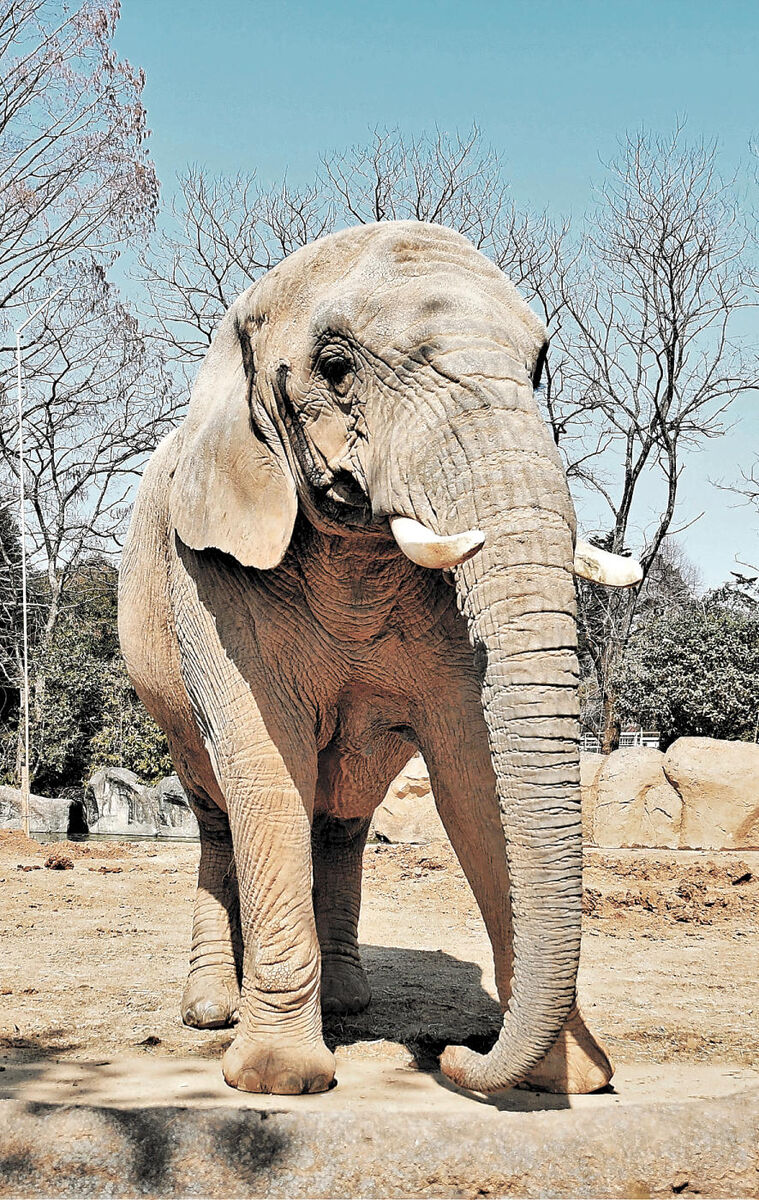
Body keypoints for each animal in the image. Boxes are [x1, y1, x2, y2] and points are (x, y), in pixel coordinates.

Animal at [120, 220, 638, 1099]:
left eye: (538, 367)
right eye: (336, 369)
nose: (456, 1055)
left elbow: (474, 775)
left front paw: (567, 1078)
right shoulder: (211, 566)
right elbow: (264, 761)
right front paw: (277, 1079)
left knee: (343, 820)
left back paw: (347, 1003)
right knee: (216, 810)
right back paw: (213, 1010)